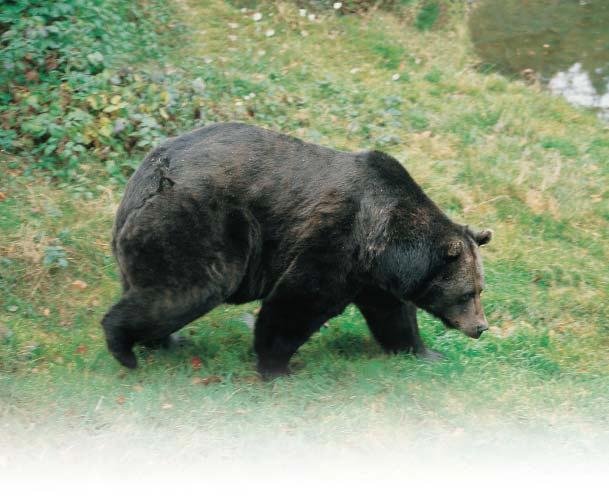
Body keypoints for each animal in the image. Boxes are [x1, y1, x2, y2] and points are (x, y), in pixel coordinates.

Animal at [100, 122, 490, 376]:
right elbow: (298, 301)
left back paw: (164, 342)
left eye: (479, 290)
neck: (388, 245)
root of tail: (146, 177)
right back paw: (124, 347)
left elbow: (393, 316)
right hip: (199, 222)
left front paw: (426, 353)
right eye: (468, 292)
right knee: (187, 288)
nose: (481, 327)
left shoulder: (373, 278)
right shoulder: (338, 240)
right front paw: (276, 366)